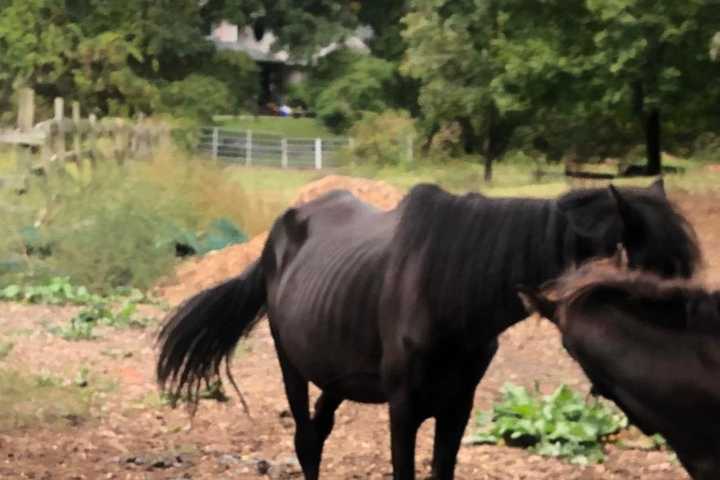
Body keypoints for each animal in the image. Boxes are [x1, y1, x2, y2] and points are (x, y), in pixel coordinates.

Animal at [156, 178, 696, 478]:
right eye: (652, 286)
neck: (451, 291)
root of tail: (278, 232)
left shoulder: (458, 406)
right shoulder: (405, 407)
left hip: (339, 374)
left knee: (320, 430)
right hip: (292, 364)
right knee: (307, 442)